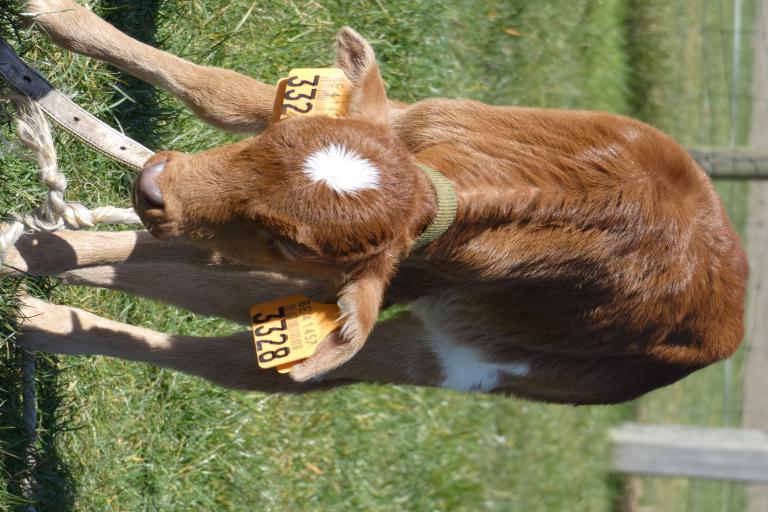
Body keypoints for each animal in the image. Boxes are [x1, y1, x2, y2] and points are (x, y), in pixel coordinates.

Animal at [3, 0, 748, 404]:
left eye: (291, 239)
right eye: (285, 138)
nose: (153, 183)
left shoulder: (353, 272)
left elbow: (147, 257)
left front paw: (18, 248)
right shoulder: (399, 120)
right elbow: (216, 89)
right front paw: (60, 20)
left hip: (476, 362)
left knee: (249, 366)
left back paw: (41, 317)